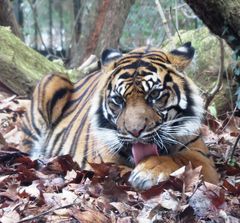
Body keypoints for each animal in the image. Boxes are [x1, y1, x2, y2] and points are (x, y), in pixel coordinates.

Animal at [21, 42, 218, 190]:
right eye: (118, 100)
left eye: (154, 95)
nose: (135, 132)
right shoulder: (102, 163)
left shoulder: (203, 159)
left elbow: (181, 159)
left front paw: (150, 169)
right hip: (52, 80)